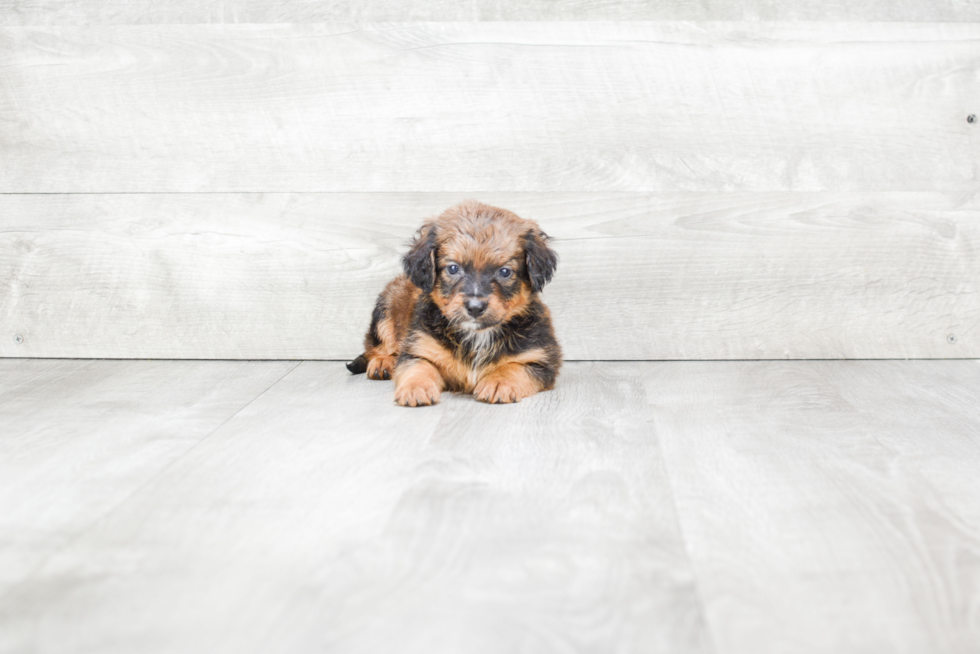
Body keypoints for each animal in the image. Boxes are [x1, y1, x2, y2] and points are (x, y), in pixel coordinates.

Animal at [348, 200, 564, 408]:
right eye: (453, 268)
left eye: (504, 272)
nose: (475, 307)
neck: (477, 337)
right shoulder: (417, 349)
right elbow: (418, 369)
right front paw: (415, 388)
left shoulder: (541, 360)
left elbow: (513, 367)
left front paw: (499, 383)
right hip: (385, 310)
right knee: (377, 347)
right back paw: (382, 362)